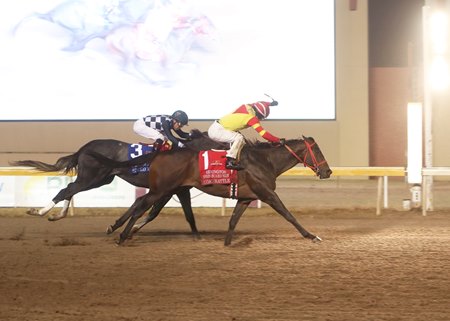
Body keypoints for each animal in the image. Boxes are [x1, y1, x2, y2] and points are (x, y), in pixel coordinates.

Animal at [11, 130, 227, 238]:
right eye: (213, 140)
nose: (226, 147)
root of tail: (84, 147)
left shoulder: (171, 191)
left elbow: (148, 211)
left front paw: (122, 227)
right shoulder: (170, 190)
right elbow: (160, 212)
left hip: (99, 179)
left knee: (70, 190)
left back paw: (57, 215)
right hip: (92, 177)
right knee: (67, 189)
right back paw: (40, 211)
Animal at [89, 135, 332, 245]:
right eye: (318, 152)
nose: (328, 171)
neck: (265, 161)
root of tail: (160, 153)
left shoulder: (245, 198)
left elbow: (233, 220)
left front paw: (226, 242)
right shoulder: (267, 194)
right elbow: (289, 215)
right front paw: (311, 235)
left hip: (168, 189)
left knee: (143, 207)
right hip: (161, 189)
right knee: (140, 208)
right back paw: (122, 235)